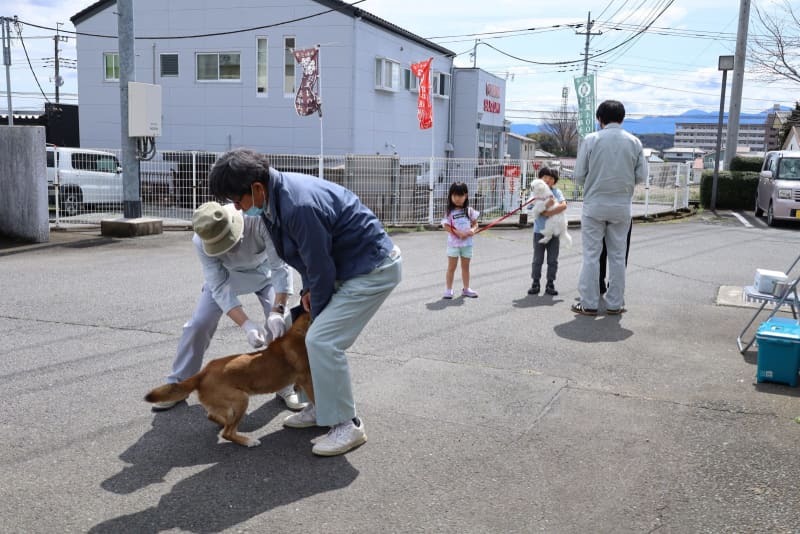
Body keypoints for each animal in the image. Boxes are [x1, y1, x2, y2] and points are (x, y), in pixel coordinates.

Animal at [145, 314, 314, 448]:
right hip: (241, 399)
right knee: (227, 433)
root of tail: (203, 373)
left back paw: (224, 421)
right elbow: (315, 398)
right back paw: (247, 441)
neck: (299, 331)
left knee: (213, 416)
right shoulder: (308, 380)